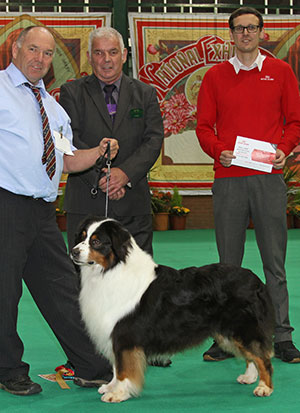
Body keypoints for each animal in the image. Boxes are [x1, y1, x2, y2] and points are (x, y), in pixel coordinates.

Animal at [71, 216, 274, 402]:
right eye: (83, 236)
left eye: (96, 241)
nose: (73, 252)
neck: (111, 270)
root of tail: (256, 281)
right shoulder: (113, 332)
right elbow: (116, 366)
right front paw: (110, 387)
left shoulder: (124, 335)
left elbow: (123, 369)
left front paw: (118, 393)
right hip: (229, 331)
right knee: (251, 355)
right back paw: (249, 377)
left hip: (243, 327)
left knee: (262, 357)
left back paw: (264, 388)